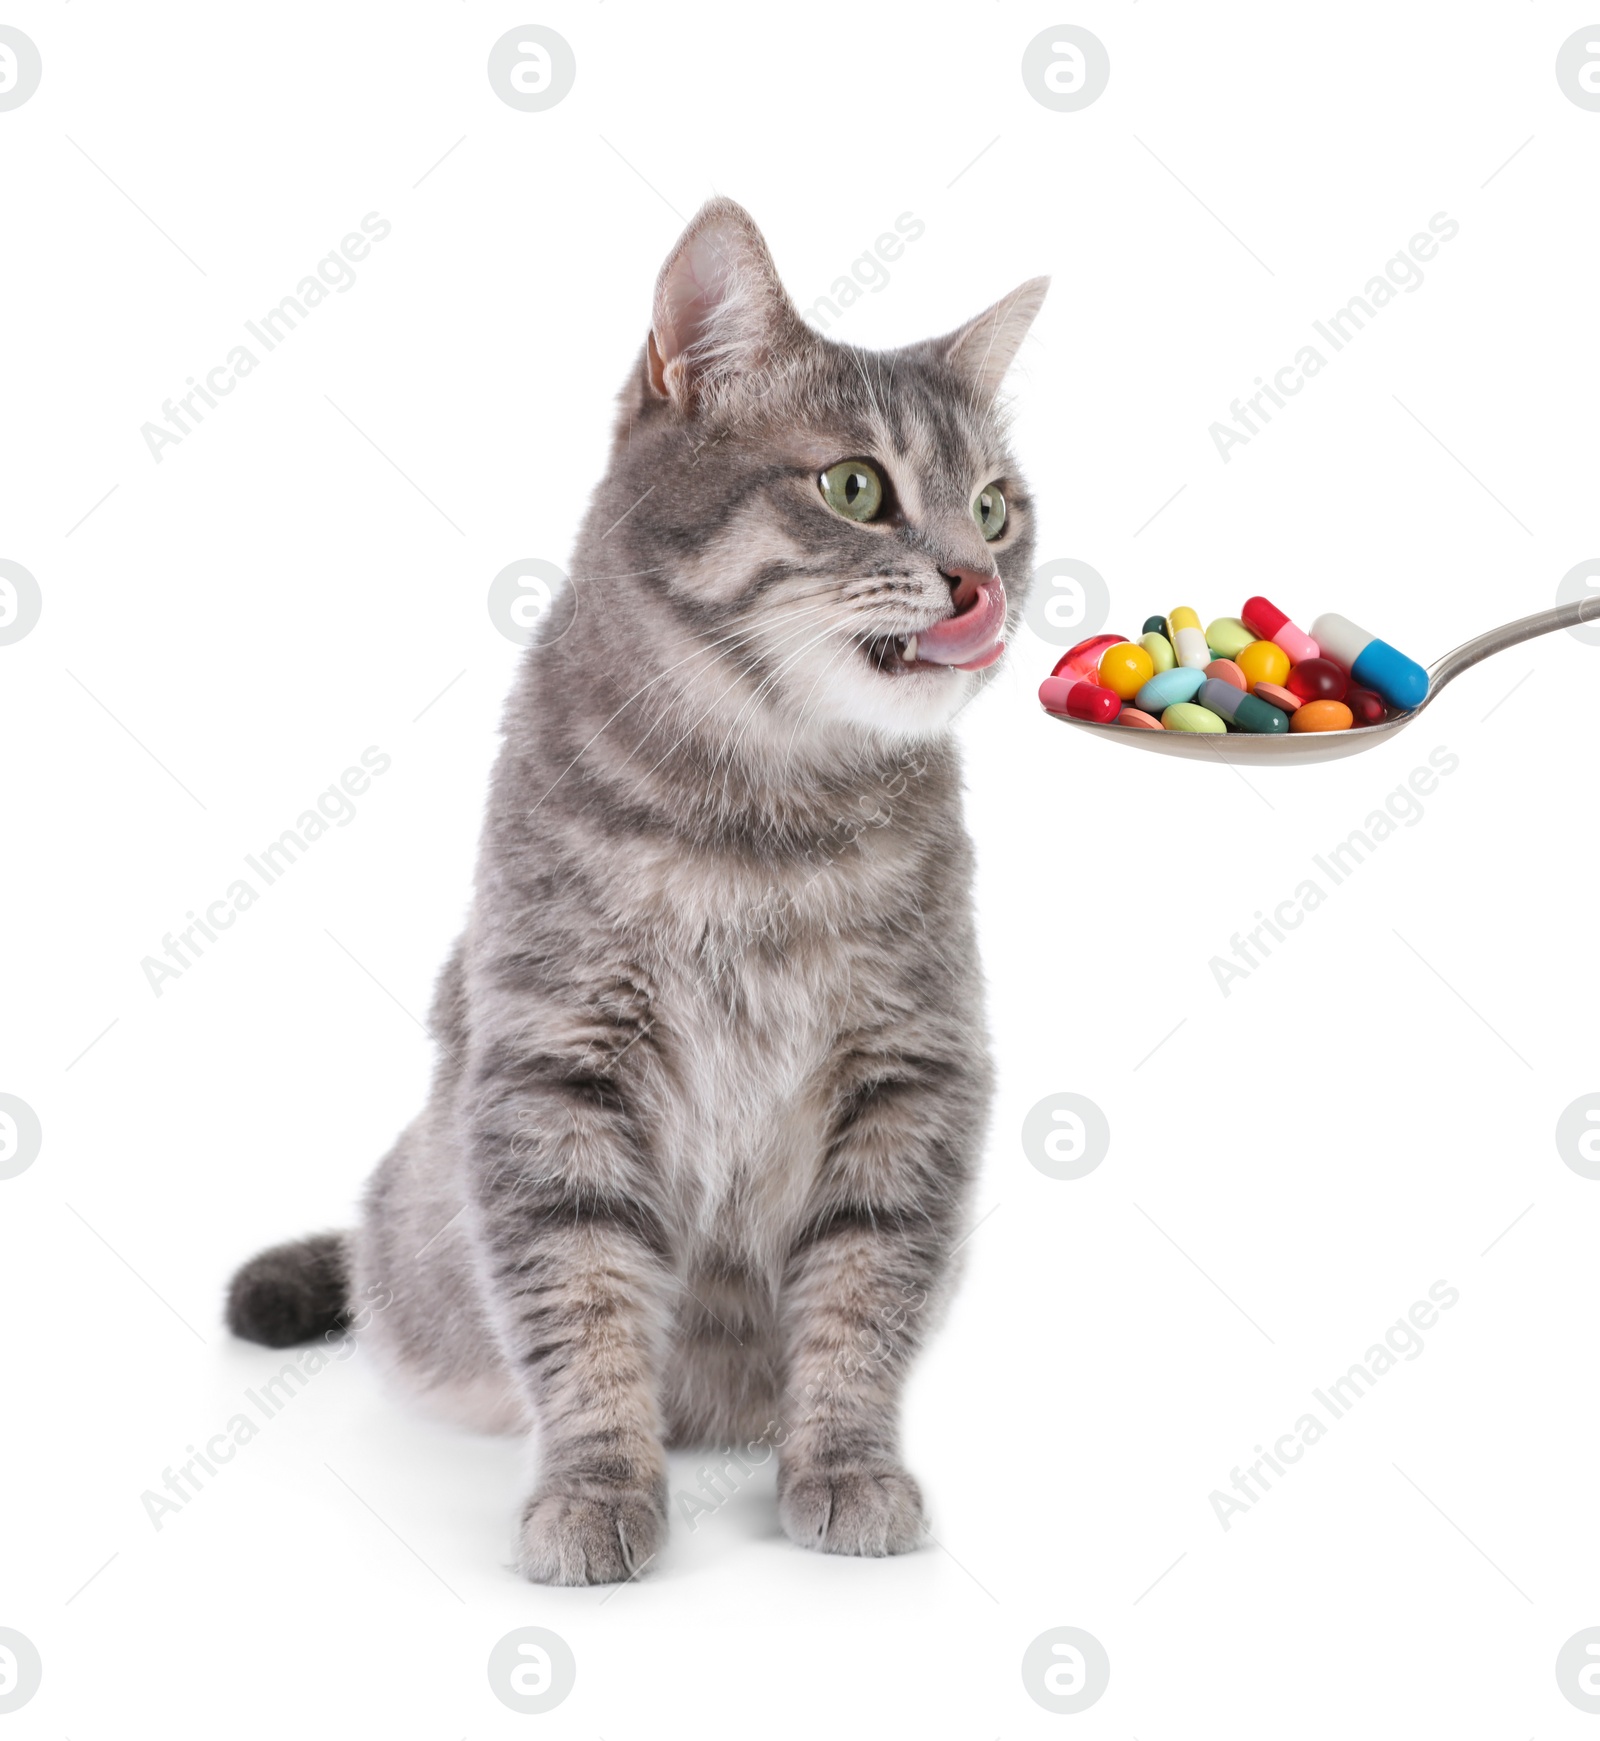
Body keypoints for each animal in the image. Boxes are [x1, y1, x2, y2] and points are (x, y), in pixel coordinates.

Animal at [228, 197, 1051, 1587]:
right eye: (855, 487)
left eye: (995, 508)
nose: (977, 581)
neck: (763, 815)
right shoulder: (557, 1065)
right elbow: (587, 1299)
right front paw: (598, 1485)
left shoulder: (910, 1072)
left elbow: (861, 1297)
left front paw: (844, 1465)